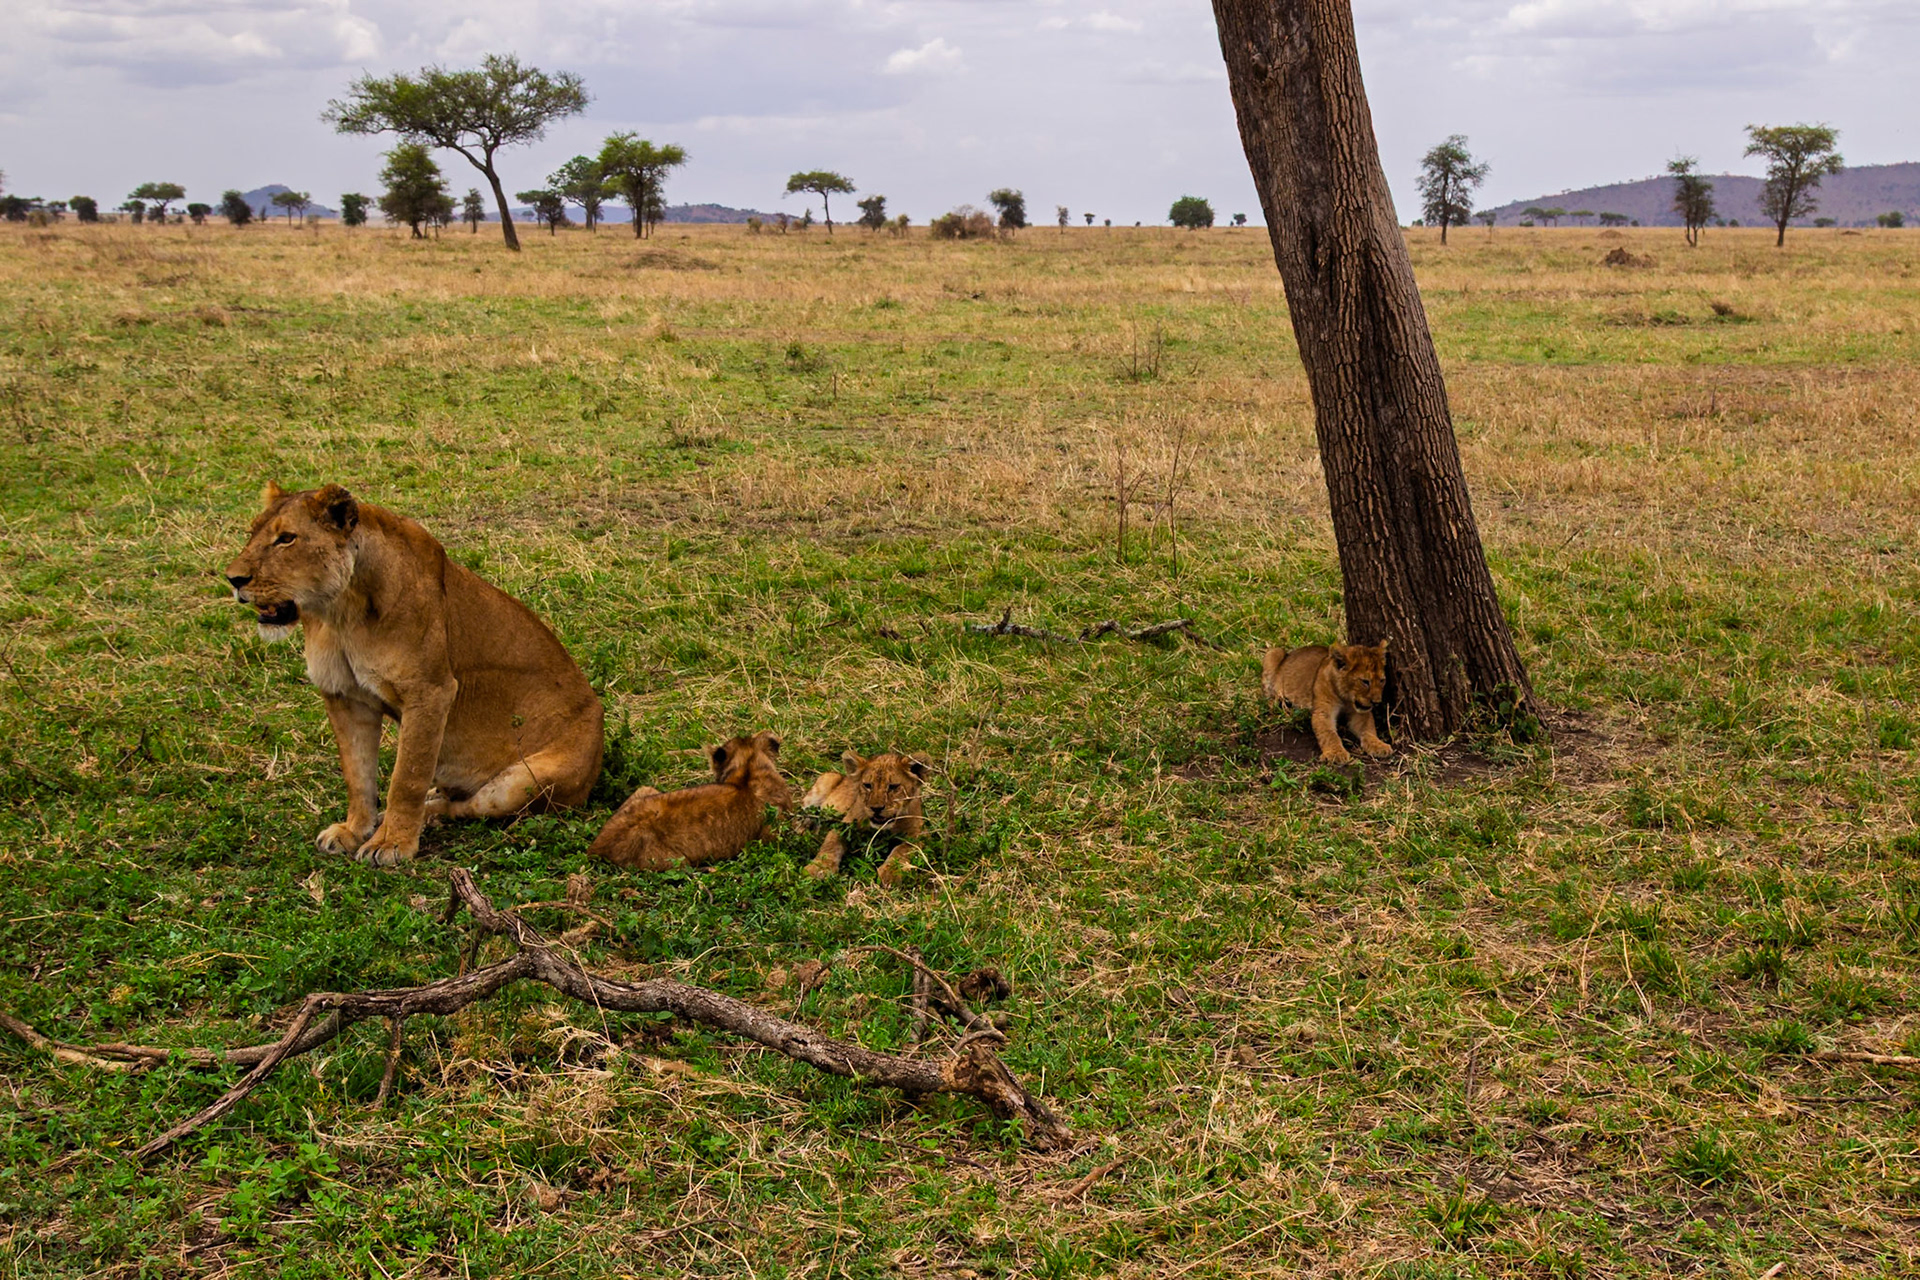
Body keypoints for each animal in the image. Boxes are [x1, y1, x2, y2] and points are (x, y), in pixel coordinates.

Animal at [225, 482, 605, 867]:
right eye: (252, 532)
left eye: (286, 538)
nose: (233, 579)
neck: (340, 613)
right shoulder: (344, 696)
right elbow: (357, 775)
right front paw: (353, 831)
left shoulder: (431, 692)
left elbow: (406, 777)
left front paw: (390, 843)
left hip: (522, 783)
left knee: (469, 807)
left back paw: (428, 814)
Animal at [799, 751, 930, 888]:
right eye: (867, 785)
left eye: (893, 787)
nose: (876, 808)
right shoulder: (845, 825)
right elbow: (831, 844)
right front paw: (818, 867)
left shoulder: (920, 833)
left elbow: (903, 849)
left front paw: (891, 873)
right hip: (827, 779)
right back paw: (803, 829)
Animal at [1261, 640, 1392, 765]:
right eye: (1365, 681)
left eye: (1382, 680)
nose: (1376, 702)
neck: (1346, 698)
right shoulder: (1323, 711)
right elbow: (1329, 734)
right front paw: (1336, 754)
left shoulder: (1360, 713)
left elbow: (1368, 728)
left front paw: (1379, 745)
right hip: (1273, 654)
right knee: (1269, 698)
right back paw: (1282, 705)